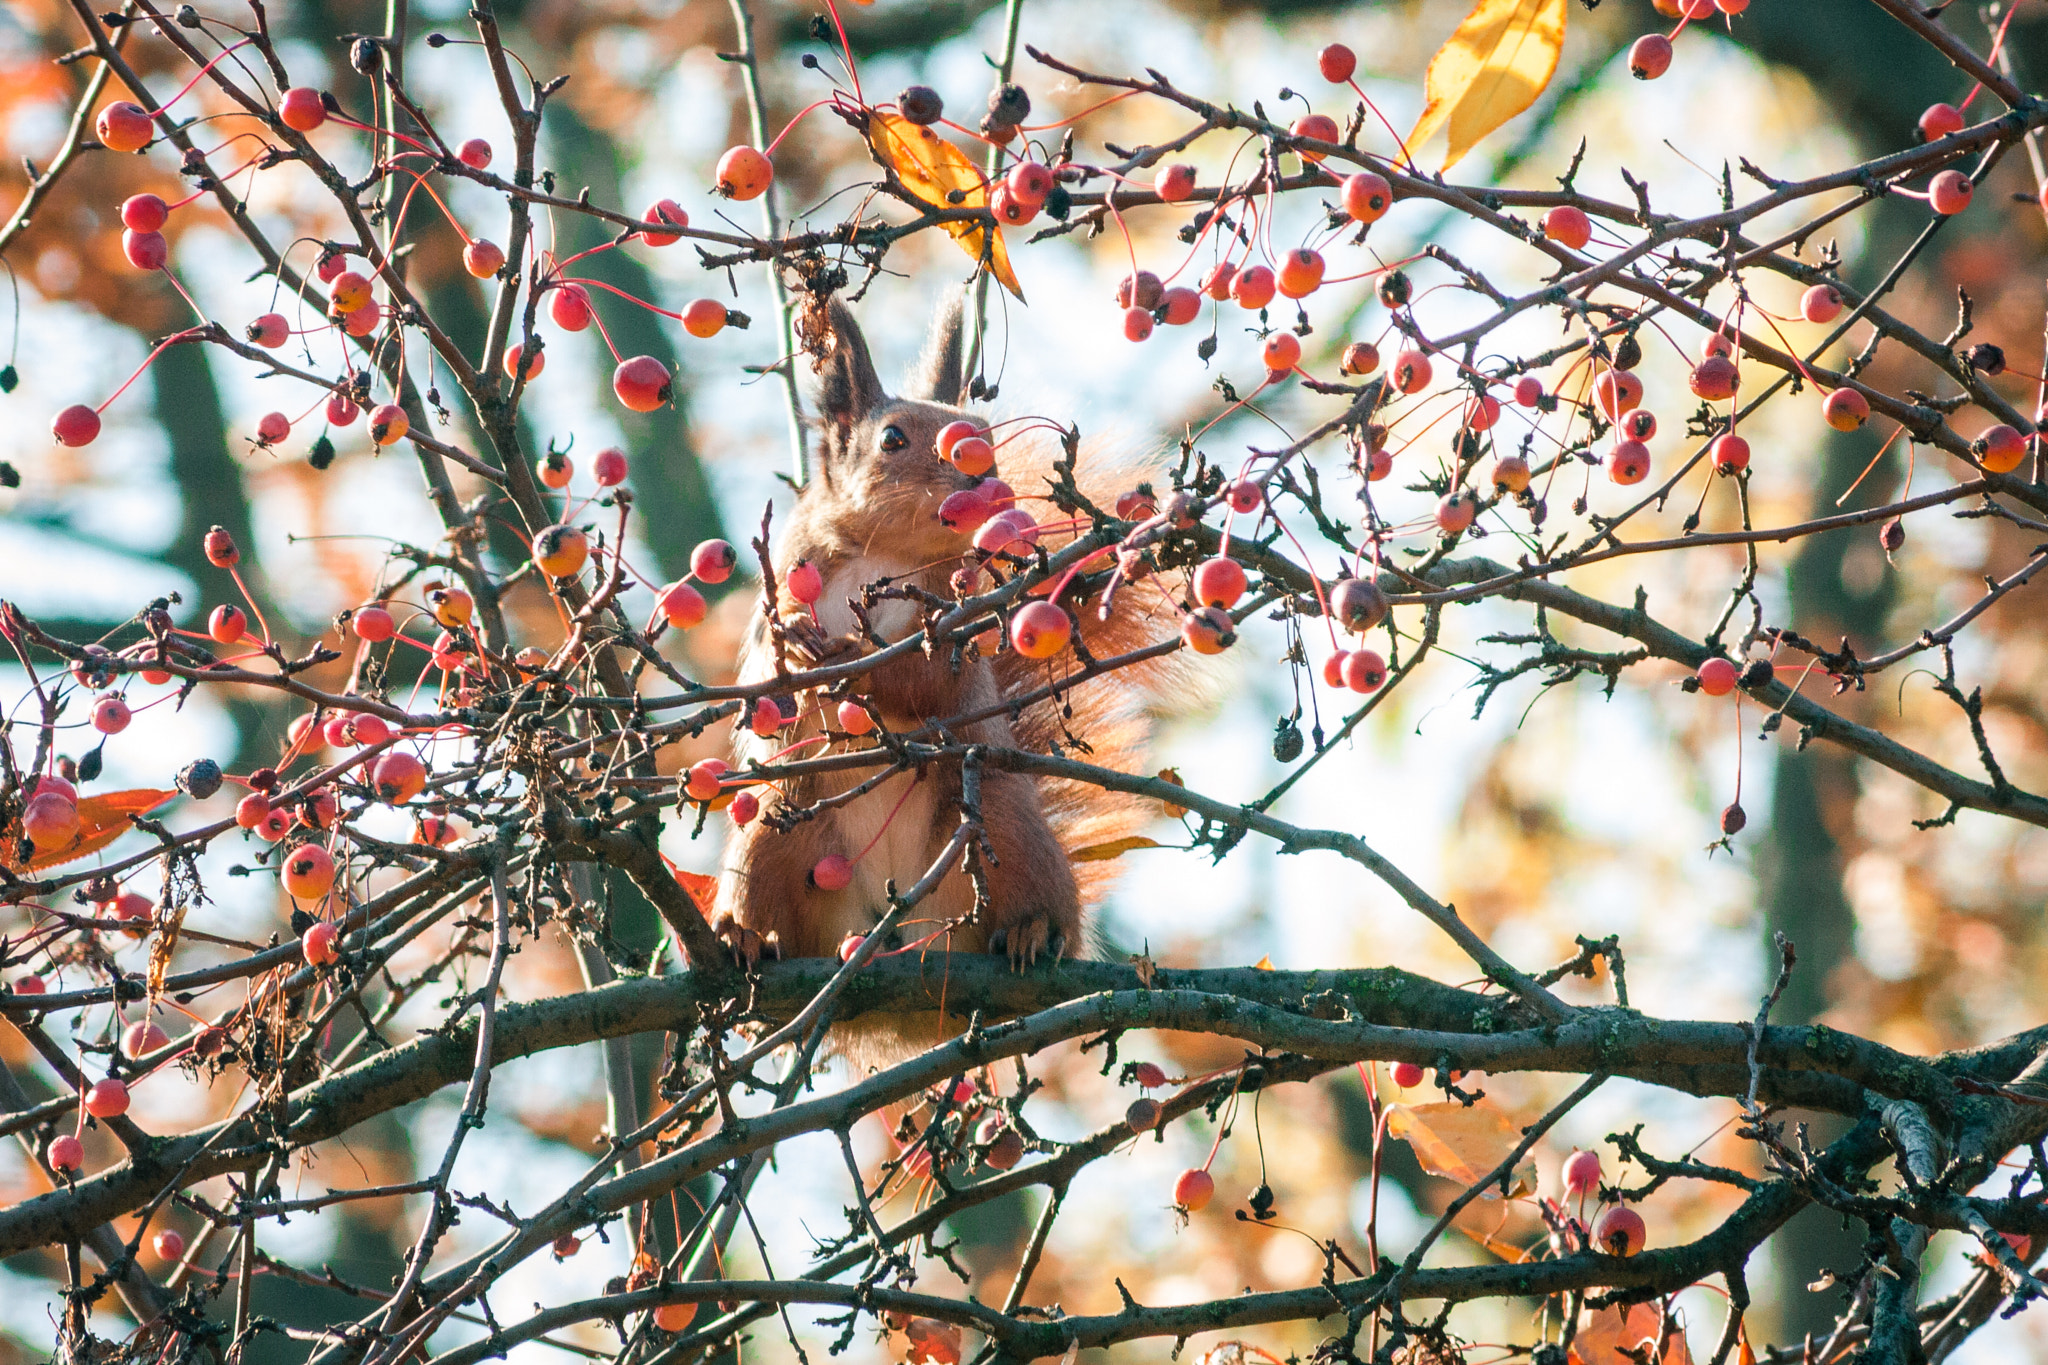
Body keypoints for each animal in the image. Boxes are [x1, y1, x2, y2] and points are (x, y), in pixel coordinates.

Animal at [709, 291, 1172, 1049]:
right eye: (893, 439)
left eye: (984, 432)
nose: (985, 477)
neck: (887, 555)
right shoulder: (777, 593)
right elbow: (765, 675)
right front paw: (803, 648)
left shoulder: (954, 633)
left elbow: (927, 683)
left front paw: (846, 658)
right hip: (775, 830)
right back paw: (742, 938)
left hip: (1002, 822)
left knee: (1038, 905)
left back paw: (1033, 933)